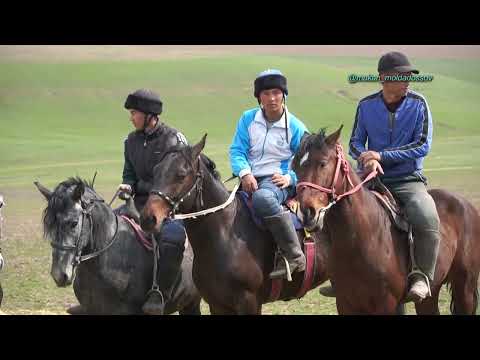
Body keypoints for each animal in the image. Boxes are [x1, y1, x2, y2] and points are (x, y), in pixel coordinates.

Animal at [139, 136, 330, 316]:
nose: (148, 218)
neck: (226, 235)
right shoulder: (217, 304)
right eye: (155, 171)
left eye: (181, 174)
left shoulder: (249, 303)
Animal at [292, 126, 480, 316]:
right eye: (294, 167)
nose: (306, 213)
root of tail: (466, 205)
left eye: (323, 163)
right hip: (431, 294)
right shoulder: (345, 303)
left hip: (465, 287)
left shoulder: (386, 303)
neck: (362, 237)